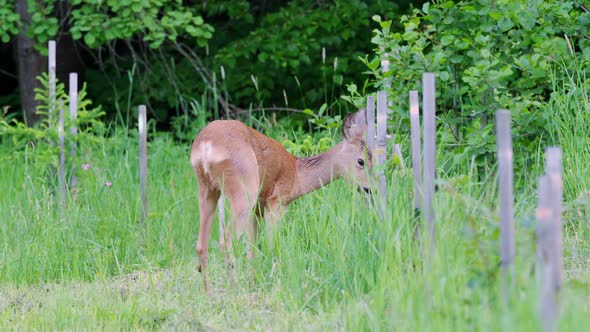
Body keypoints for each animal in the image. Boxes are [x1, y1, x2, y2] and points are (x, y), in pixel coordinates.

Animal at [191, 109, 374, 294]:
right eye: (361, 161)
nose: (370, 189)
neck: (297, 175)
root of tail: (205, 146)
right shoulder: (277, 201)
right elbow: (272, 245)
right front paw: (276, 284)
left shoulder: (258, 207)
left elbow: (252, 248)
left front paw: (253, 283)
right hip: (244, 190)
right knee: (226, 241)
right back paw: (236, 290)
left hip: (208, 189)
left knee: (201, 245)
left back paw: (209, 293)